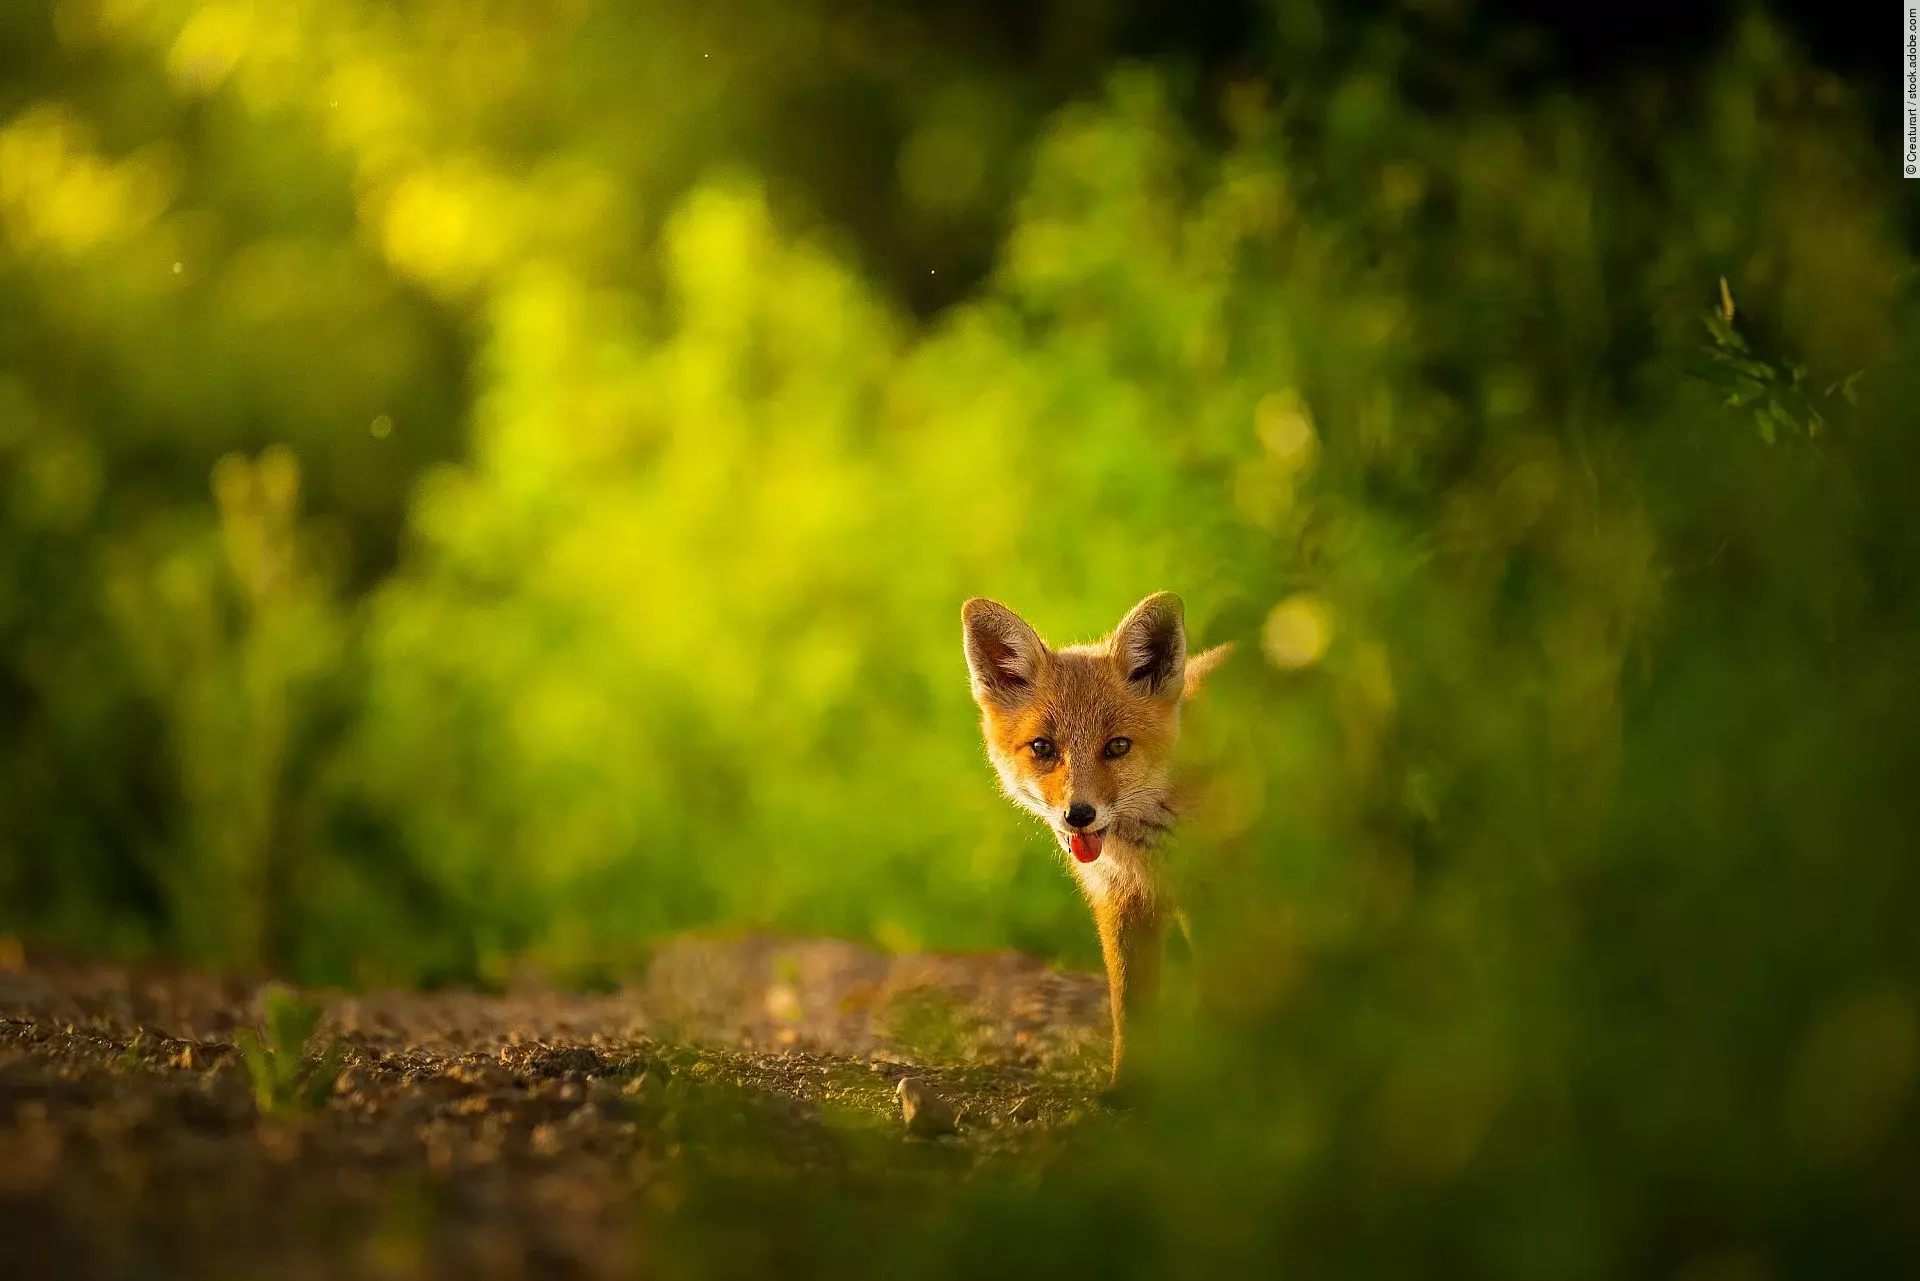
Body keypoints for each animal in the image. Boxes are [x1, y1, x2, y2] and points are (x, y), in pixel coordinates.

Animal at [962, 591, 1231, 1089]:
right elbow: (1131, 1013)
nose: (1078, 816)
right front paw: (1127, 1090)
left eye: (1117, 746)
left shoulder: (1216, 893)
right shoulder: (1120, 902)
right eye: (1043, 748)